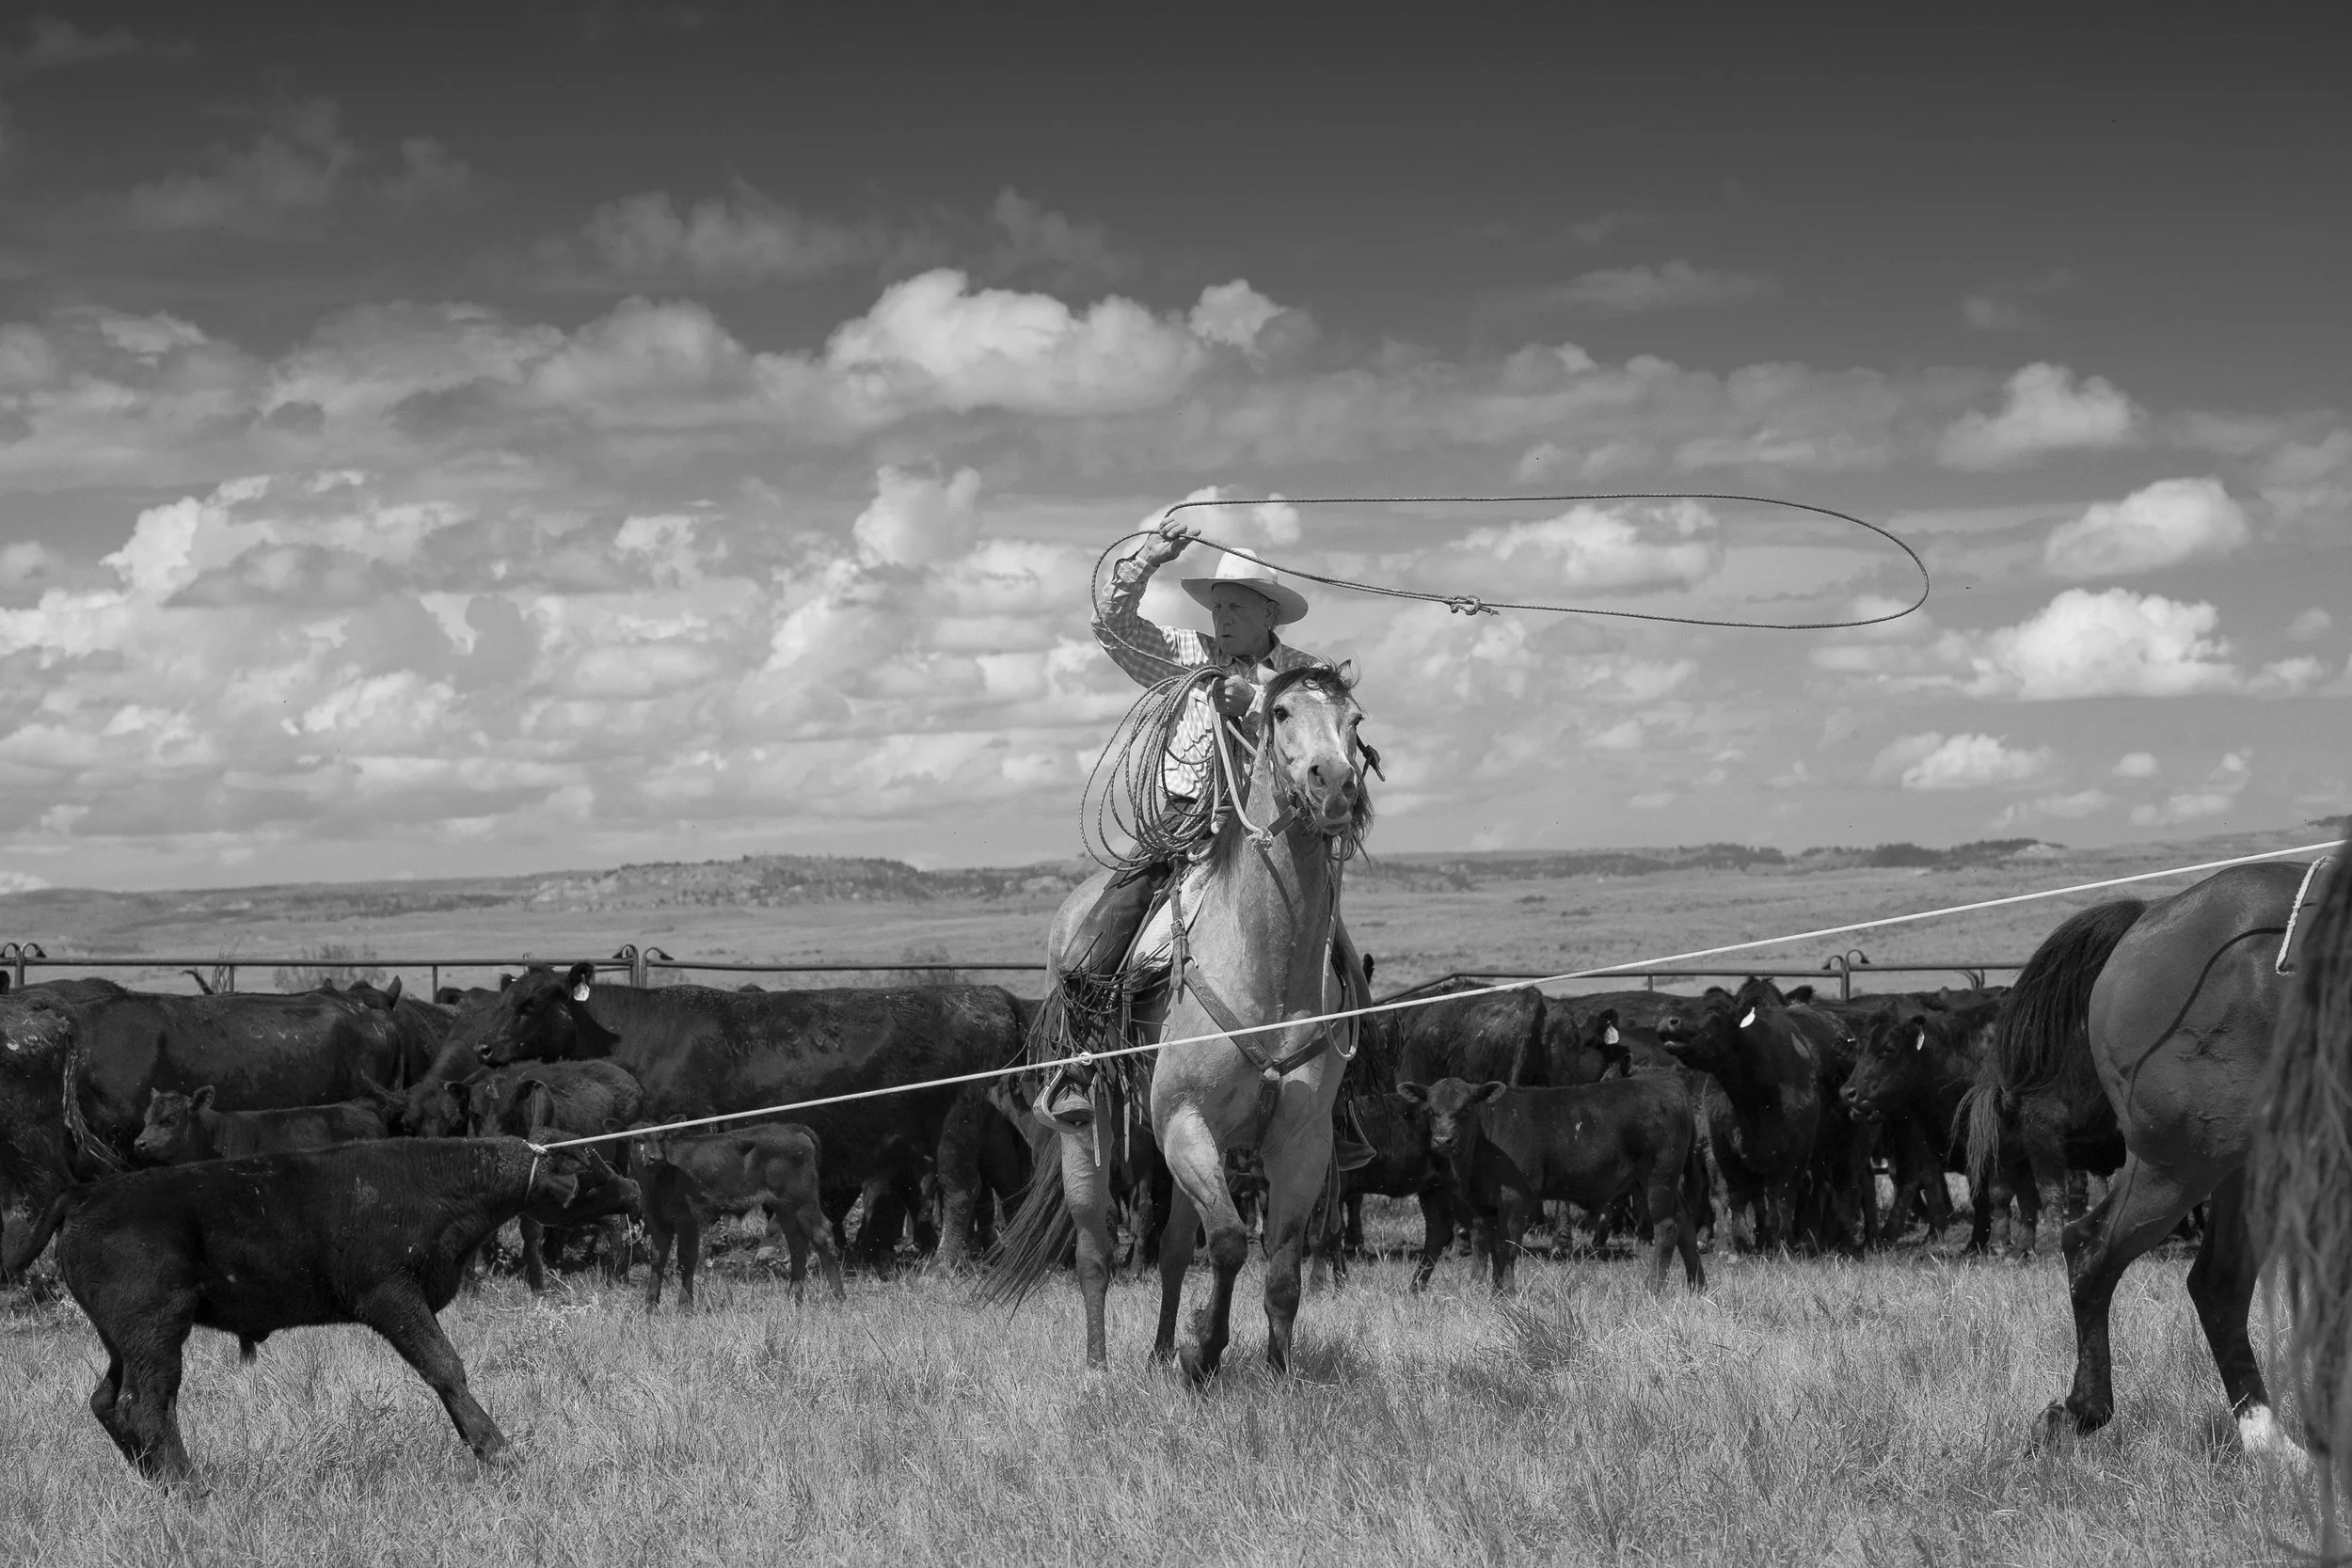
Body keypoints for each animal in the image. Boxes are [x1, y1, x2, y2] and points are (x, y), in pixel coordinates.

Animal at [0, 1138, 637, 1480]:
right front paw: (497, 1449)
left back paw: (160, 1482)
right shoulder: (391, 1295)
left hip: (122, 1339)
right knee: (146, 1404)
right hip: (154, 1329)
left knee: (109, 1401)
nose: (632, 1189)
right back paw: (190, 1488)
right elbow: (444, 1366)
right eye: (590, 1167)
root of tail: (85, 1193)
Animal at [466, 964, 1026, 1271]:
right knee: (1013, 1180)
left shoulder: (685, 1125)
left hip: (957, 1123)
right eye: (503, 996)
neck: (638, 1031)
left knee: (962, 1190)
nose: (483, 1046)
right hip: (993, 1126)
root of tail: (991, 995)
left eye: (533, 1001)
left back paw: (945, 1266)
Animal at [634, 1123, 843, 1309]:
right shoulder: (657, 1223)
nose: (655, 1159)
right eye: (638, 1139)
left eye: (662, 1138)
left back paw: (837, 1298)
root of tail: (793, 1129)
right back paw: (794, 1299)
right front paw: (650, 1306)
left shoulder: (688, 1222)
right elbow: (657, 1260)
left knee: (822, 1234)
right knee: (797, 1243)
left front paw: (684, 1306)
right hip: (785, 1207)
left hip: (803, 1201)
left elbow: (686, 1260)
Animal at [1399, 1074, 1705, 1293]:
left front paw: (1508, 1293)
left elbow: (1508, 1246)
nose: (1442, 1140)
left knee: (1667, 1225)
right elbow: (1490, 1245)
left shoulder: (1516, 1197)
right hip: (1652, 1181)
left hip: (1659, 1177)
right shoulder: (1484, 1204)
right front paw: (1493, 1291)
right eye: (1431, 1110)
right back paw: (1696, 1286)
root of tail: (1669, 1084)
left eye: (1465, 1109)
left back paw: (1654, 1287)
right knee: (1686, 1221)